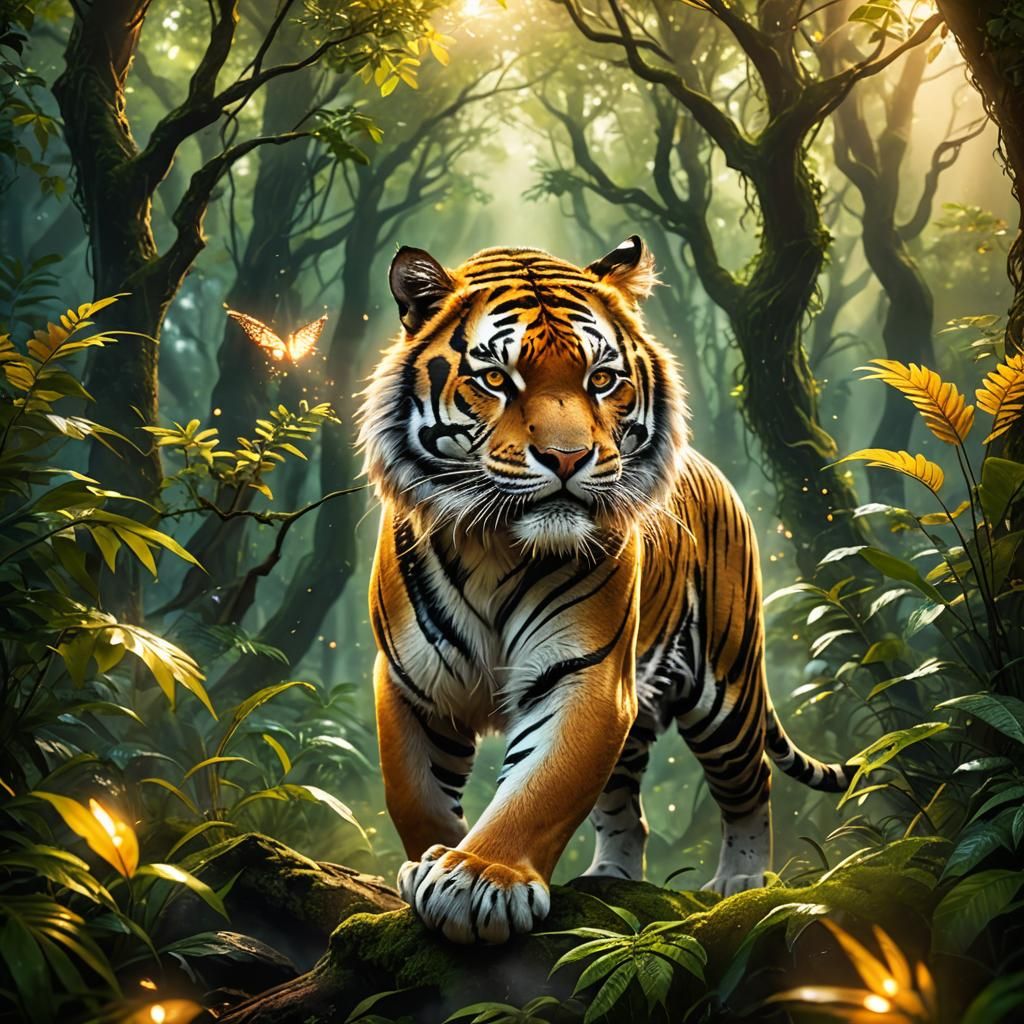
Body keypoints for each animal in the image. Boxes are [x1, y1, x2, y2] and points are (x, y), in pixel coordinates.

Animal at [357, 236, 849, 945]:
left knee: (750, 778)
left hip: (724, 690)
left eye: (601, 379)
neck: (492, 545)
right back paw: (608, 878)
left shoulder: (584, 675)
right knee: (626, 807)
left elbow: (541, 786)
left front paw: (478, 879)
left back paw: (742, 881)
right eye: (496, 380)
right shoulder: (411, 680)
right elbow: (415, 794)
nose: (568, 459)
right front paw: (425, 866)